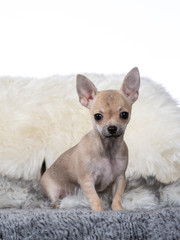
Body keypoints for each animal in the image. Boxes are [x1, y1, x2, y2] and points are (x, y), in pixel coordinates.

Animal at [41, 67, 141, 210]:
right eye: (98, 116)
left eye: (124, 114)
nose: (112, 128)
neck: (107, 148)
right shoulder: (87, 181)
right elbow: (95, 199)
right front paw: (99, 210)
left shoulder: (120, 178)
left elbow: (117, 197)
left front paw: (118, 209)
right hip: (52, 189)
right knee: (54, 199)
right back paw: (59, 205)